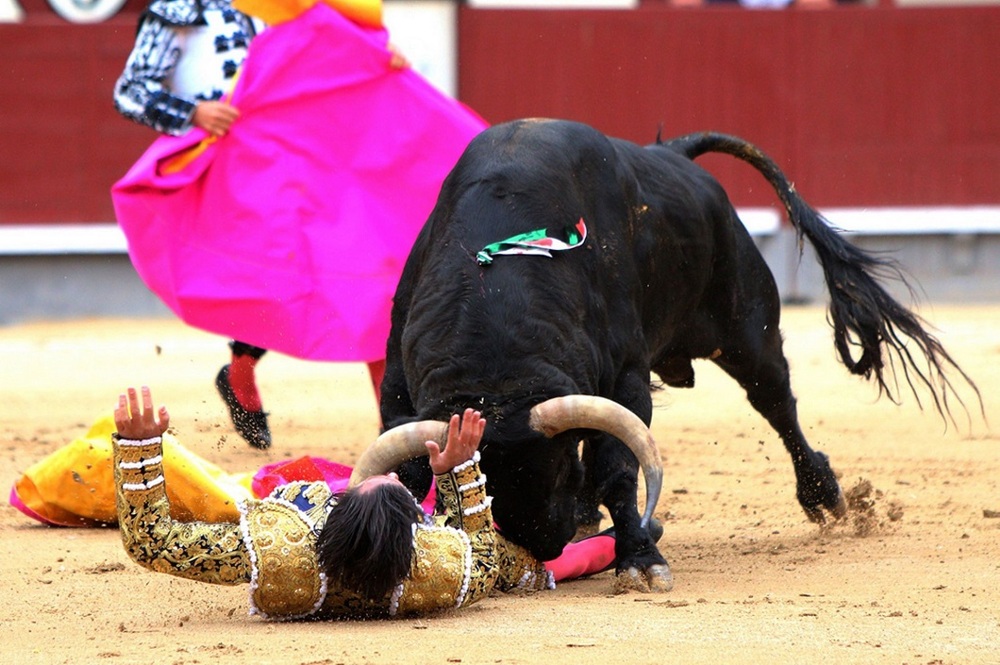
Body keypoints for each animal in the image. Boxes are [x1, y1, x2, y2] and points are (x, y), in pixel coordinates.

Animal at [378, 116, 980, 588]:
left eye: (554, 467)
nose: (541, 545)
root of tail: (673, 154)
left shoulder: (626, 379)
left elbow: (619, 468)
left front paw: (640, 560)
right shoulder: (398, 386)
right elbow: (408, 473)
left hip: (746, 330)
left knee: (776, 401)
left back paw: (822, 493)